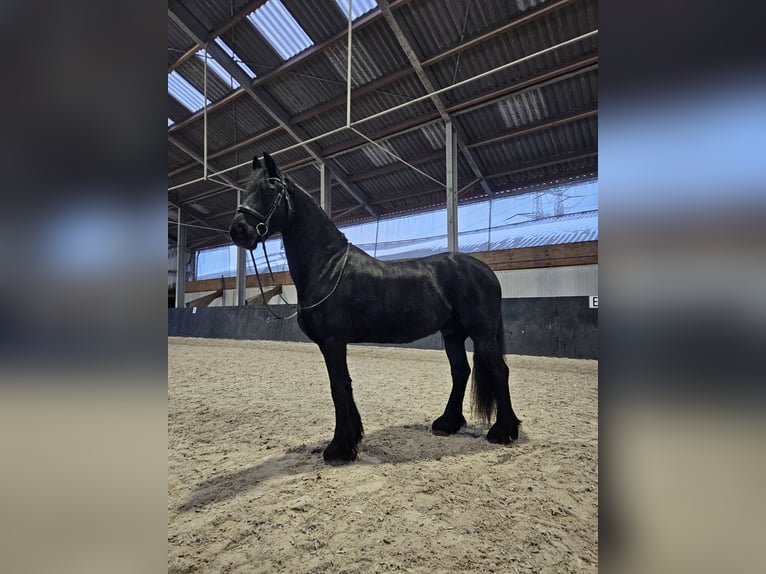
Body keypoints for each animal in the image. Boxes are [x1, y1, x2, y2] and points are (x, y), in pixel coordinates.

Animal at [229, 152, 521, 464]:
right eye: (246, 188)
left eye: (270, 188)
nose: (238, 230)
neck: (327, 266)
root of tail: (484, 269)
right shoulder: (334, 344)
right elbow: (344, 386)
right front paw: (352, 439)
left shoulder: (333, 342)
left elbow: (338, 387)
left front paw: (339, 448)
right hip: (452, 333)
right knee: (461, 371)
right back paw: (447, 424)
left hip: (482, 334)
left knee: (499, 371)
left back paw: (503, 432)